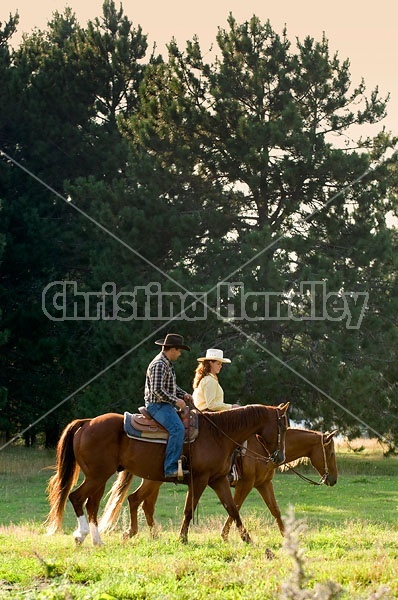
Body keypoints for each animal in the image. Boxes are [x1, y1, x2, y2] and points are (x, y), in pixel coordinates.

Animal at [45, 404, 290, 544]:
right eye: (282, 427)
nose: (279, 457)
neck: (220, 434)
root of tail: (87, 423)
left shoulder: (219, 480)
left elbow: (232, 508)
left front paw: (247, 538)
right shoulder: (200, 480)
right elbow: (189, 509)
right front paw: (182, 538)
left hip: (104, 477)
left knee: (98, 504)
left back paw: (102, 539)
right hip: (98, 475)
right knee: (77, 498)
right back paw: (82, 535)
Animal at [98, 426, 336, 540]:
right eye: (331, 452)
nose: (333, 479)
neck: (263, 449)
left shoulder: (263, 484)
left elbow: (275, 510)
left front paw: (286, 535)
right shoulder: (245, 484)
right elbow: (235, 507)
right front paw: (225, 534)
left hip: (154, 481)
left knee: (143, 503)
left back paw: (152, 535)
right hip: (153, 480)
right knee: (138, 501)